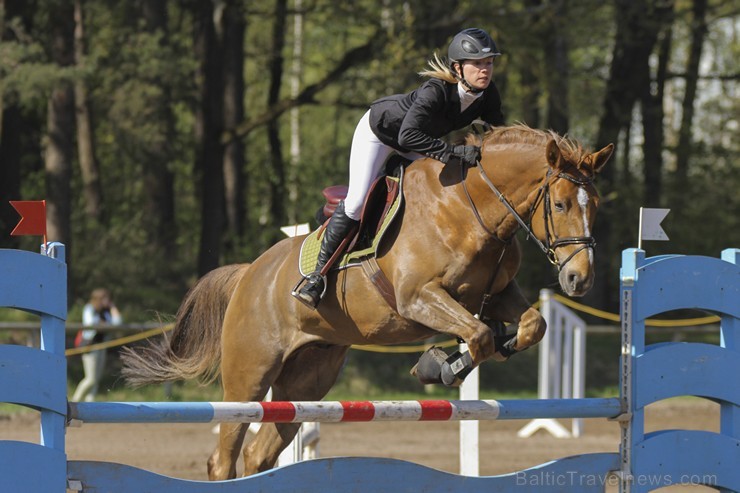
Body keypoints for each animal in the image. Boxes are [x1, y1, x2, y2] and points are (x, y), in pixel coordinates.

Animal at [121, 124, 612, 480]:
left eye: (595, 205)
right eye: (562, 204)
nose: (579, 279)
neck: (470, 209)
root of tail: (248, 273)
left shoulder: (496, 295)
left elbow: (527, 327)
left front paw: (458, 357)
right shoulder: (418, 297)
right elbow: (478, 335)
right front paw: (439, 366)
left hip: (307, 380)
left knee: (260, 454)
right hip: (249, 376)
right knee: (224, 455)